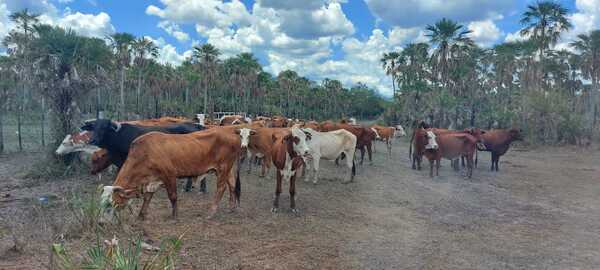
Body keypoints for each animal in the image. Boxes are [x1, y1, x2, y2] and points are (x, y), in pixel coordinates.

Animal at [102, 128, 243, 219]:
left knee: (221, 188)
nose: (101, 222)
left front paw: (175, 215)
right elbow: (147, 197)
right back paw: (232, 208)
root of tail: (232, 132)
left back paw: (211, 212)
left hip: (223, 168)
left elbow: (172, 196)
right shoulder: (152, 181)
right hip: (228, 169)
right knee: (232, 185)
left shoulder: (169, 175)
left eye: (111, 203)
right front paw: (141, 215)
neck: (143, 154)